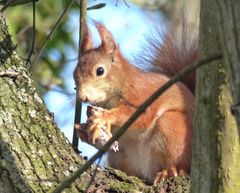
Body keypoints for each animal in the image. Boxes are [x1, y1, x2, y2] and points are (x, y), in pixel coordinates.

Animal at [73, 19, 197, 184]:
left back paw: (171, 171)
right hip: (120, 157)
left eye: (100, 71)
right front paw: (83, 130)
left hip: (174, 130)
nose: (82, 97)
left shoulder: (142, 94)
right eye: (74, 73)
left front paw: (105, 117)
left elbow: (142, 116)